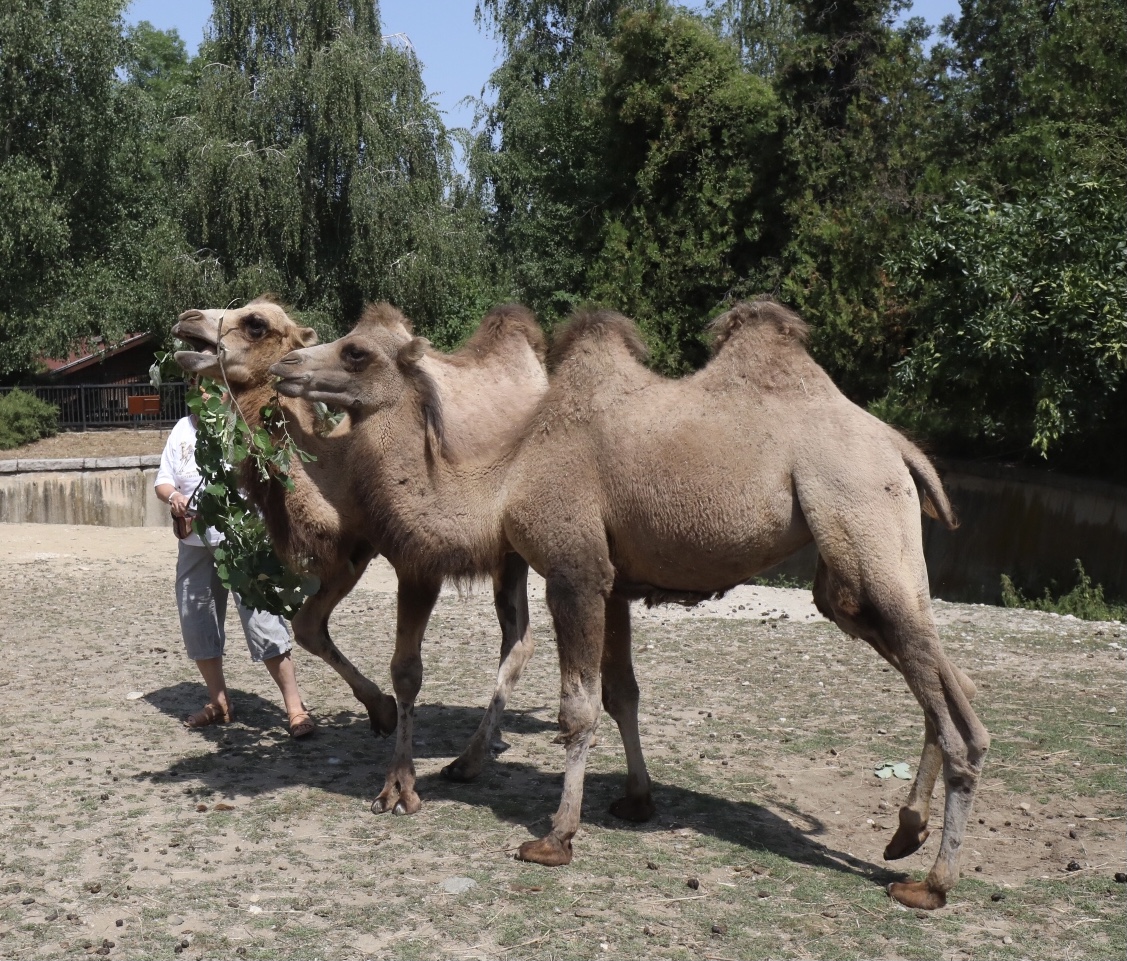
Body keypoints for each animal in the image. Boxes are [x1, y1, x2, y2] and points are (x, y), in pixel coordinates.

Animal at [170, 295, 549, 806]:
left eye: (256, 324)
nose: (187, 319)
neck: (341, 463)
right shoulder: (355, 548)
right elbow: (307, 626)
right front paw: (381, 712)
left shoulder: (414, 558)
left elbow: (405, 668)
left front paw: (399, 784)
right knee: (517, 637)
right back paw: (487, 745)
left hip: (514, 553)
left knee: (521, 638)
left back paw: (472, 758)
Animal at [270, 297, 987, 905]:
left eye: (356, 351)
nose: (286, 365)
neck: (503, 483)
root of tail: (897, 444)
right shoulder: (613, 579)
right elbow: (622, 693)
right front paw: (636, 799)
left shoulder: (573, 569)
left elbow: (578, 708)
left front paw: (555, 837)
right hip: (859, 564)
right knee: (940, 666)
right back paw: (907, 830)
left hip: (855, 507)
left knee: (942, 695)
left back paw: (932, 881)